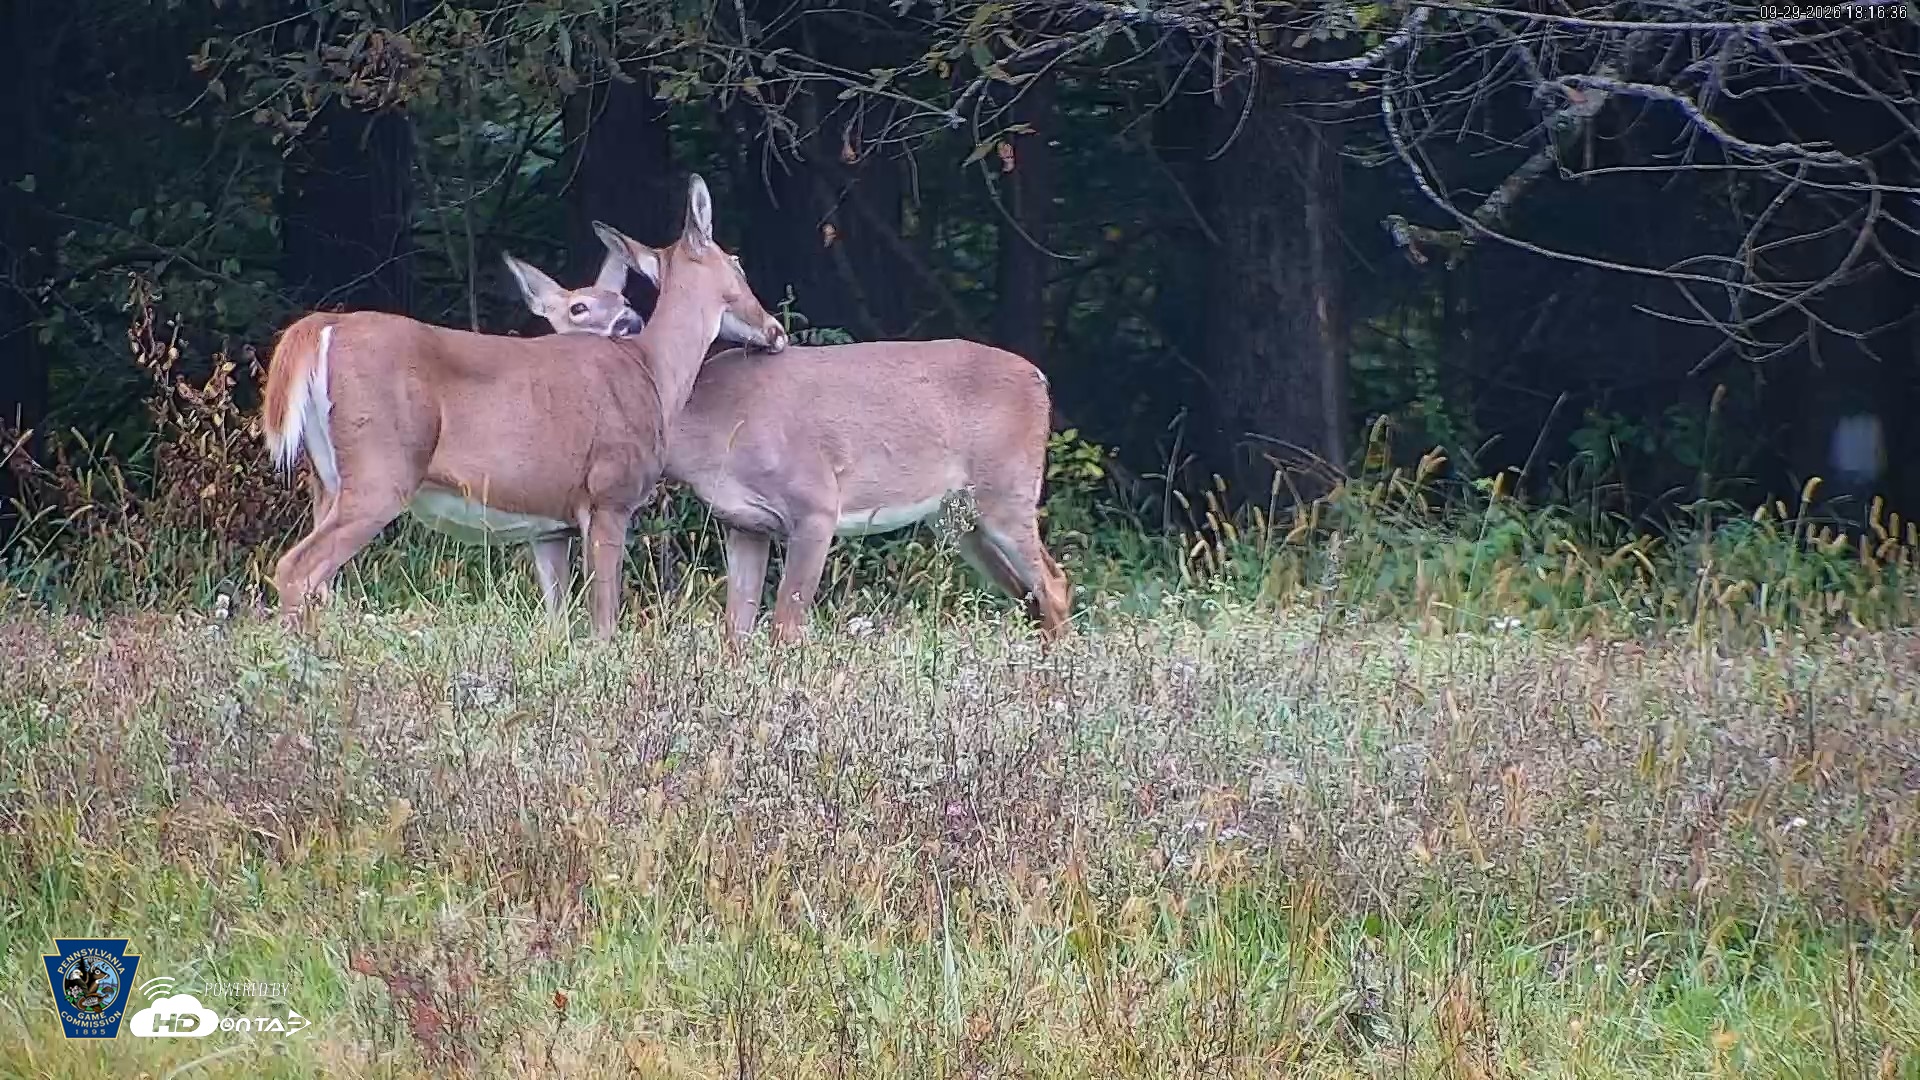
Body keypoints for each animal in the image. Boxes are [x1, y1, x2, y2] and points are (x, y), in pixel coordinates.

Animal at [258, 173, 789, 639]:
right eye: (738, 263)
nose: (776, 329)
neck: (654, 373)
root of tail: (322, 326)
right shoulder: (609, 494)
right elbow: (603, 622)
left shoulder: (550, 527)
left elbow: (557, 623)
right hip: (380, 470)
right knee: (296, 568)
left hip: (326, 480)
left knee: (319, 580)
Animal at [503, 245, 1072, 646]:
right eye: (577, 308)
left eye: (622, 300)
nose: (629, 323)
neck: (704, 422)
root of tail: (1041, 379)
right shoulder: (742, 520)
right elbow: (737, 628)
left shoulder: (817, 504)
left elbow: (783, 626)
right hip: (960, 517)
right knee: (1030, 594)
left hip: (1007, 488)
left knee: (1054, 584)